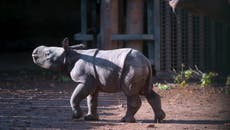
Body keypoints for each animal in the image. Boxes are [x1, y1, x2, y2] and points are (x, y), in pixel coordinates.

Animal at [32, 37, 165, 123]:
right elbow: (91, 100)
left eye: (47, 54)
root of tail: (147, 61)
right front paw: (90, 118)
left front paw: (76, 116)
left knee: (130, 92)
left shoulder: (84, 80)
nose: (34, 52)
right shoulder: (93, 81)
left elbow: (75, 97)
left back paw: (125, 120)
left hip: (132, 67)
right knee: (147, 92)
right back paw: (159, 119)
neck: (70, 55)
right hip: (139, 66)